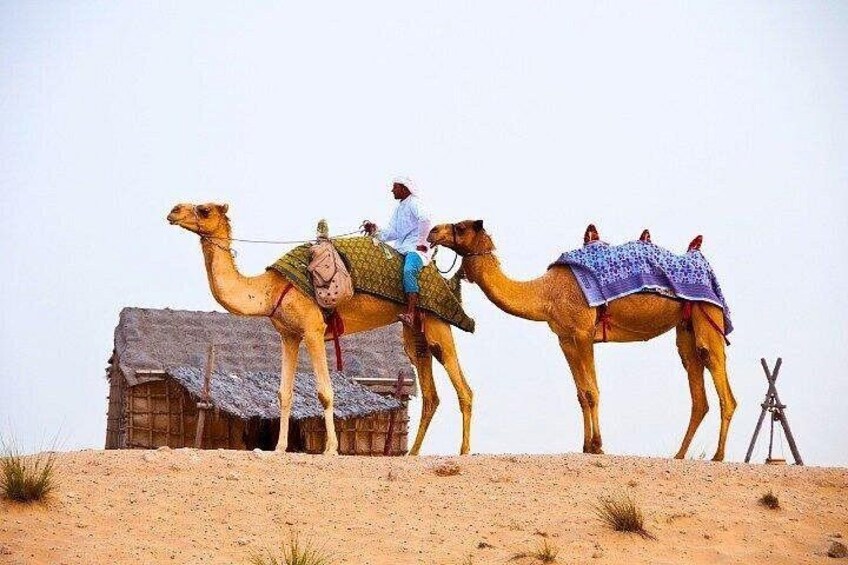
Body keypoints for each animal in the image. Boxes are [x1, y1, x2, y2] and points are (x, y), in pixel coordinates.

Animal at [167, 202, 474, 455]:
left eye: (204, 209)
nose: (173, 210)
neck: (270, 288)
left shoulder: (313, 330)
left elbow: (325, 393)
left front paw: (331, 449)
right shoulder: (289, 335)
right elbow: (284, 394)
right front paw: (280, 448)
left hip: (437, 323)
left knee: (463, 387)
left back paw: (464, 451)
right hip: (415, 333)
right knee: (430, 391)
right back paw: (413, 454)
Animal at [428, 220, 736, 461]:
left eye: (461, 226)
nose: (432, 231)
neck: (545, 293)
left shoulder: (584, 333)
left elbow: (592, 390)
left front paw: (598, 446)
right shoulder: (565, 338)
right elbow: (581, 394)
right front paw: (586, 445)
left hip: (708, 314)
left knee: (719, 378)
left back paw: (718, 455)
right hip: (685, 328)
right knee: (697, 385)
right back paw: (679, 455)